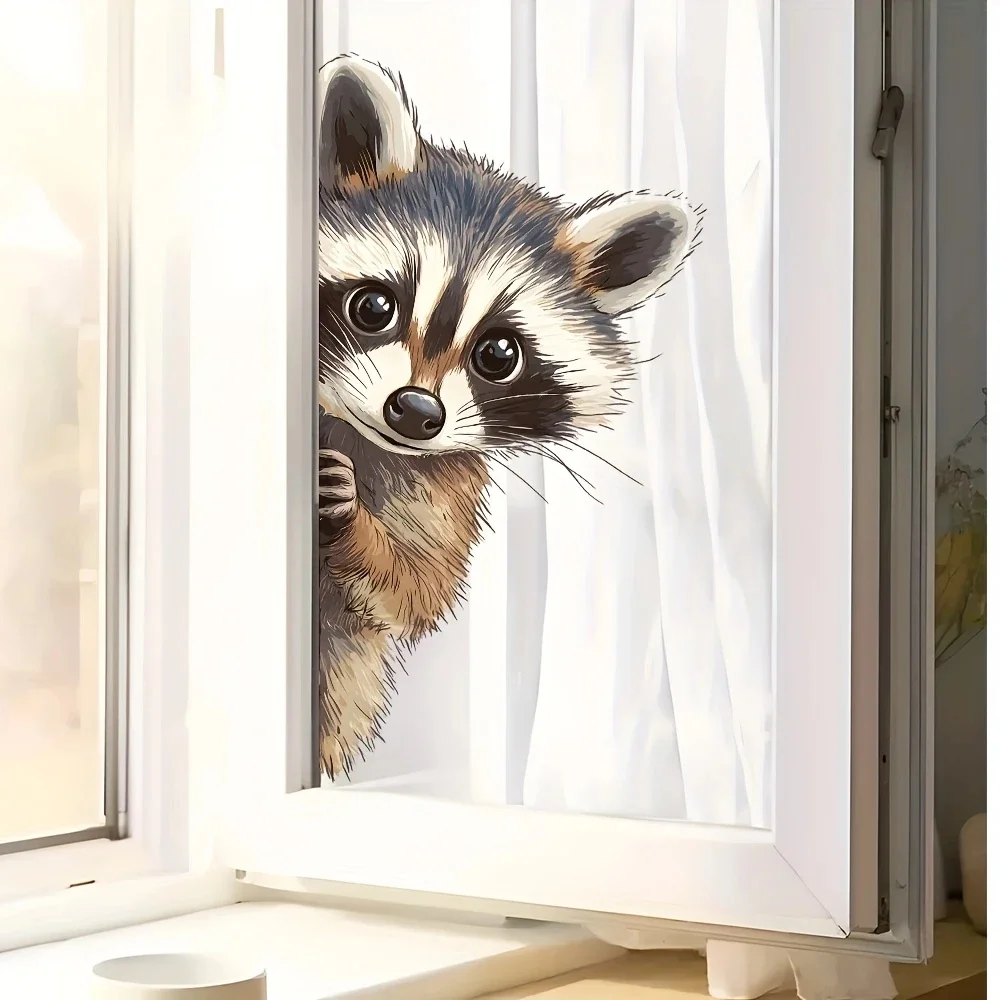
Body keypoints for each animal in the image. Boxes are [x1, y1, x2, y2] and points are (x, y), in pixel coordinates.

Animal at [316, 54, 702, 780]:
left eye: (498, 354)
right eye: (374, 307)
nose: (415, 412)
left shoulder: (445, 486)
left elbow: (414, 589)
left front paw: (355, 524)